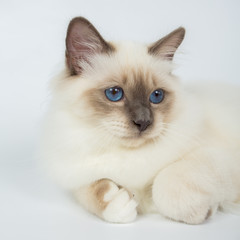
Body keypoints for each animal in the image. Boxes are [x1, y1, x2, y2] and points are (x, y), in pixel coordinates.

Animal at [40, 17, 240, 225]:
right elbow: (90, 189)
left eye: (157, 96)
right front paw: (118, 201)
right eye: (114, 93)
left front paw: (206, 212)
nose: (143, 122)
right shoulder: (76, 175)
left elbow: (164, 185)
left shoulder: (212, 155)